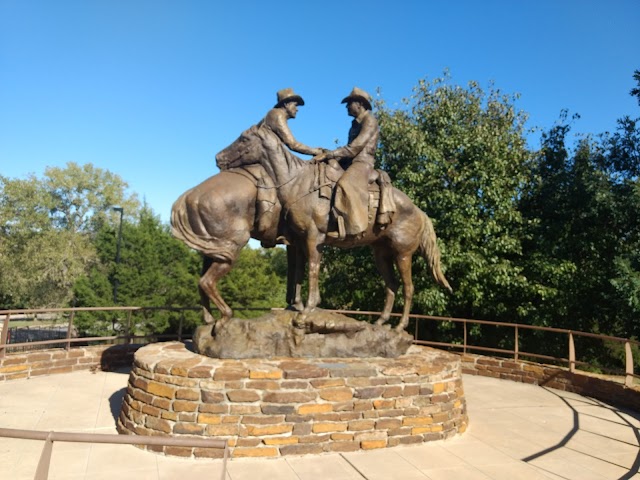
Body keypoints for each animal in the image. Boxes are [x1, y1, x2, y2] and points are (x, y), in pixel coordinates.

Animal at [215, 125, 450, 332]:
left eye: (244, 138)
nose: (218, 158)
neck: (299, 184)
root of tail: (419, 212)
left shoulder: (314, 238)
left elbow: (312, 270)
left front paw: (307, 309)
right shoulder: (298, 241)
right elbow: (299, 273)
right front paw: (298, 306)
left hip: (403, 254)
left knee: (409, 288)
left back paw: (400, 326)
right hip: (381, 253)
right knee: (391, 285)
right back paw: (381, 322)